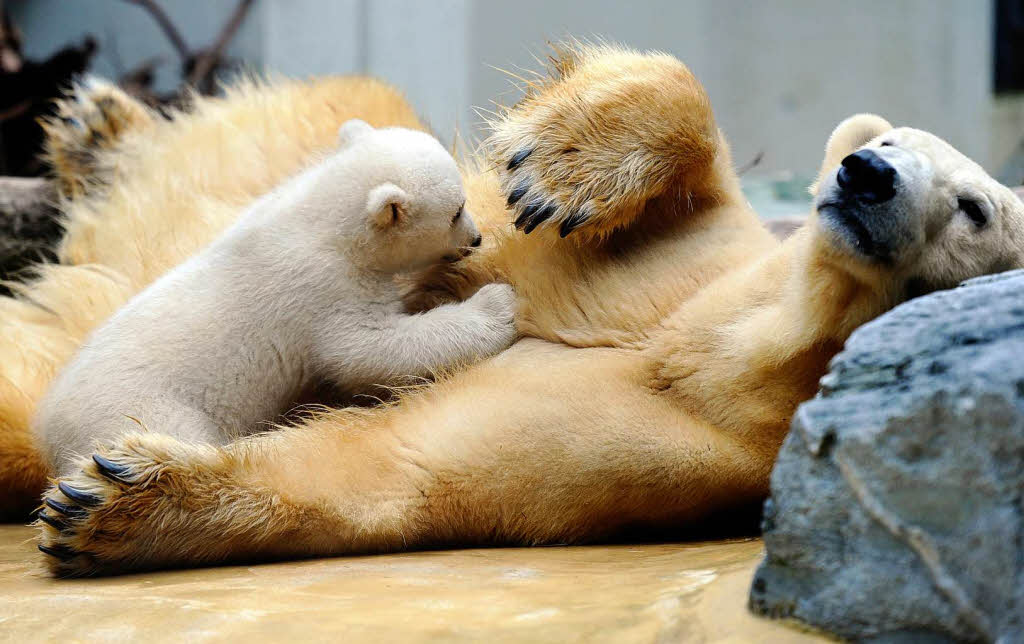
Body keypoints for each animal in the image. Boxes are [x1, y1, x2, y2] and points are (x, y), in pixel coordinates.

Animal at [0, 45, 1019, 573]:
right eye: (888, 139)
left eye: (977, 208)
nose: (870, 173)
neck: (711, 349)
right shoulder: (698, 265)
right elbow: (680, 151)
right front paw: (560, 164)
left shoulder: (668, 447)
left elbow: (386, 466)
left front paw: (113, 500)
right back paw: (97, 127)